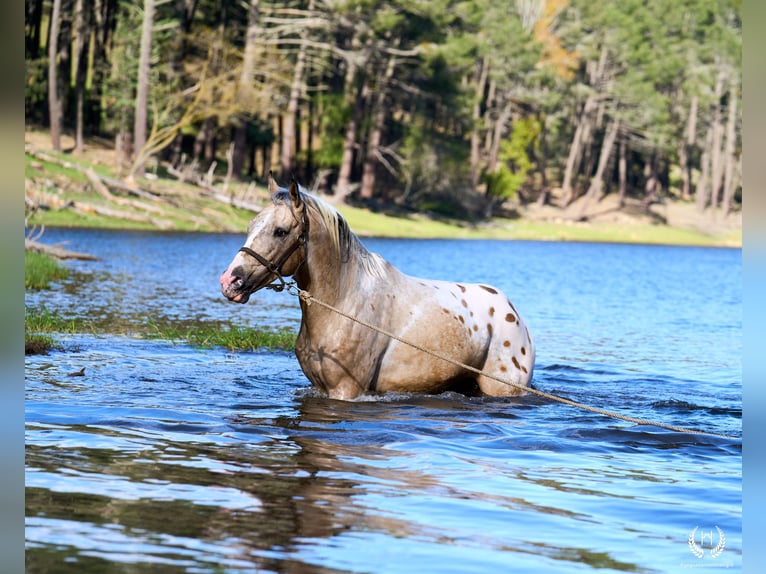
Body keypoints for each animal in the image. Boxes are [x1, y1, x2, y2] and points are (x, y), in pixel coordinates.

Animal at [220, 177, 535, 400]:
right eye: (251, 225)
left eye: (280, 231)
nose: (230, 282)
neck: (344, 303)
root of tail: (513, 313)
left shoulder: (346, 389)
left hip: (502, 388)